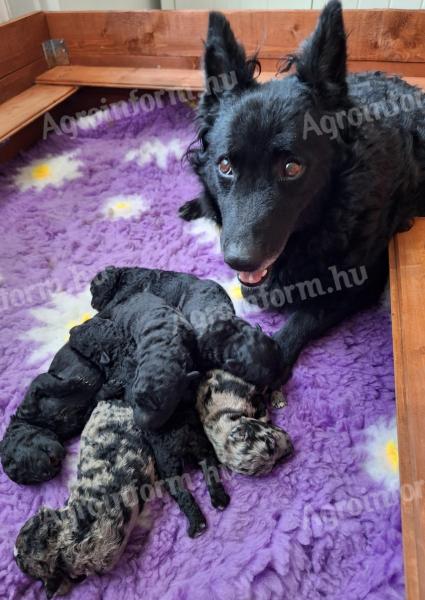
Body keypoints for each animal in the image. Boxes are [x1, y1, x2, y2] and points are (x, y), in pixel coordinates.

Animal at [179, 1, 424, 380]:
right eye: (225, 166)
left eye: (292, 168)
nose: (238, 259)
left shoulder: (363, 280)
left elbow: (301, 320)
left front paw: (257, 352)